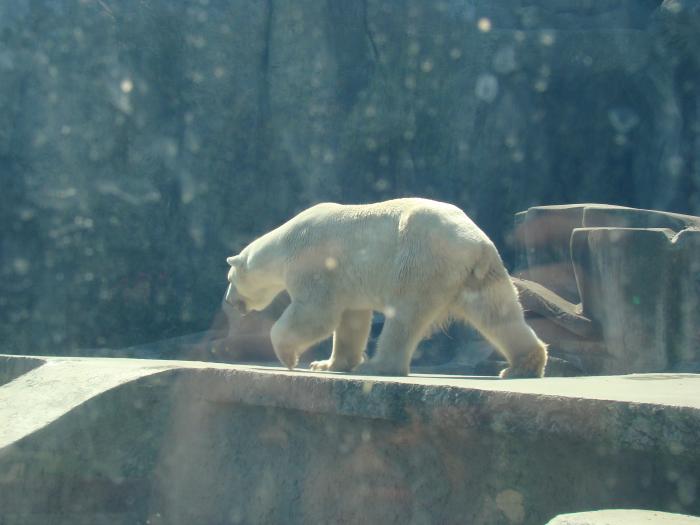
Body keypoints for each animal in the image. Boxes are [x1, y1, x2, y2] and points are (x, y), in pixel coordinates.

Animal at [224, 198, 548, 376]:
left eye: (229, 280)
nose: (228, 302)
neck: (284, 243)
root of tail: (474, 242)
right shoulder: (348, 282)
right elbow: (351, 320)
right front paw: (327, 364)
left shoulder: (314, 264)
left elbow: (316, 313)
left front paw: (289, 357)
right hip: (481, 273)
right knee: (499, 313)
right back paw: (524, 363)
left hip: (421, 260)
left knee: (404, 314)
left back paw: (378, 366)